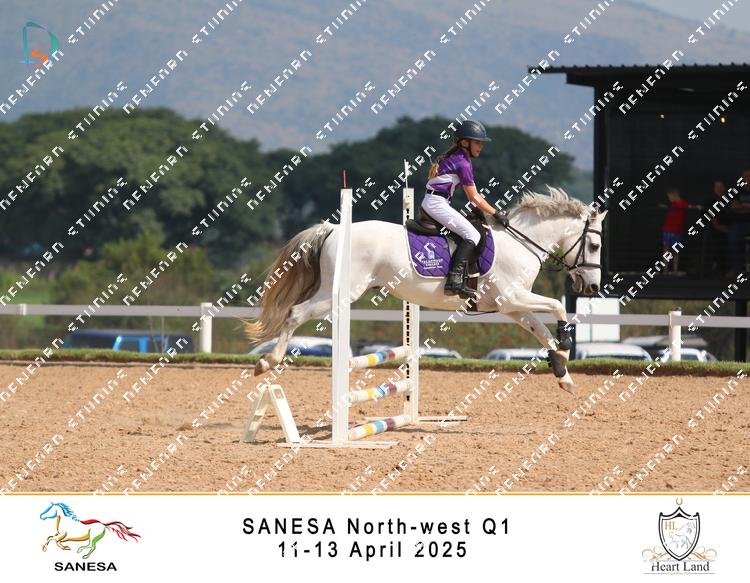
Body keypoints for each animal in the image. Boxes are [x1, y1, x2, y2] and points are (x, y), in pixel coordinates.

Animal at [245, 187, 606, 394]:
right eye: (595, 245)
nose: (591, 286)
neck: (520, 242)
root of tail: (334, 228)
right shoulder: (512, 298)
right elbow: (557, 307)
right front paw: (565, 347)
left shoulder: (512, 307)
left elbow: (541, 330)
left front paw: (562, 371)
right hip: (341, 292)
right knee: (295, 313)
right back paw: (267, 362)